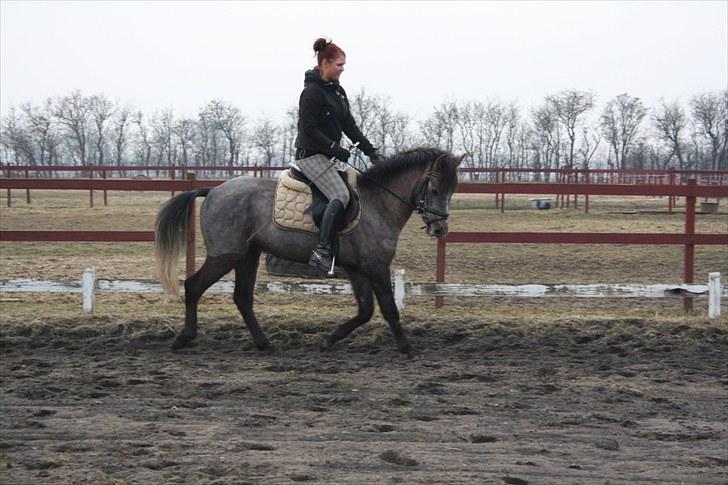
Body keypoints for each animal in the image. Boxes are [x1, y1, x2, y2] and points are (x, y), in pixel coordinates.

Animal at [154, 147, 463, 357]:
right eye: (435, 189)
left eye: (452, 190)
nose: (440, 229)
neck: (379, 203)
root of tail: (213, 191)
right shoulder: (375, 266)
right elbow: (388, 308)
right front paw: (407, 348)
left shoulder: (357, 269)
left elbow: (365, 310)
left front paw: (329, 339)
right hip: (225, 255)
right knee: (194, 286)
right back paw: (184, 338)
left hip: (247, 255)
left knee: (242, 297)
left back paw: (264, 343)